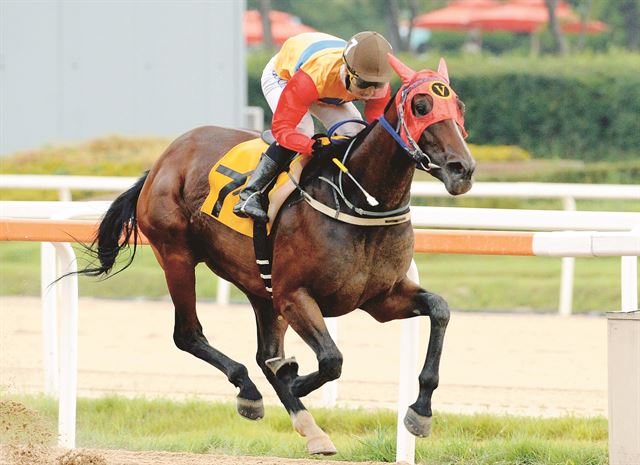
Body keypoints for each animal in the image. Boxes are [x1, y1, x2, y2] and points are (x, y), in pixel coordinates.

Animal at [81, 55, 476, 454]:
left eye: (459, 107)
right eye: (421, 106)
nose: (463, 168)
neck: (358, 199)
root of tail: (162, 161)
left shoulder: (382, 297)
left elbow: (440, 309)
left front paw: (420, 411)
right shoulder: (295, 295)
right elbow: (331, 359)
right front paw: (295, 377)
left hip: (259, 284)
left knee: (262, 353)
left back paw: (309, 427)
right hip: (176, 256)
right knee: (189, 335)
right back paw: (251, 390)